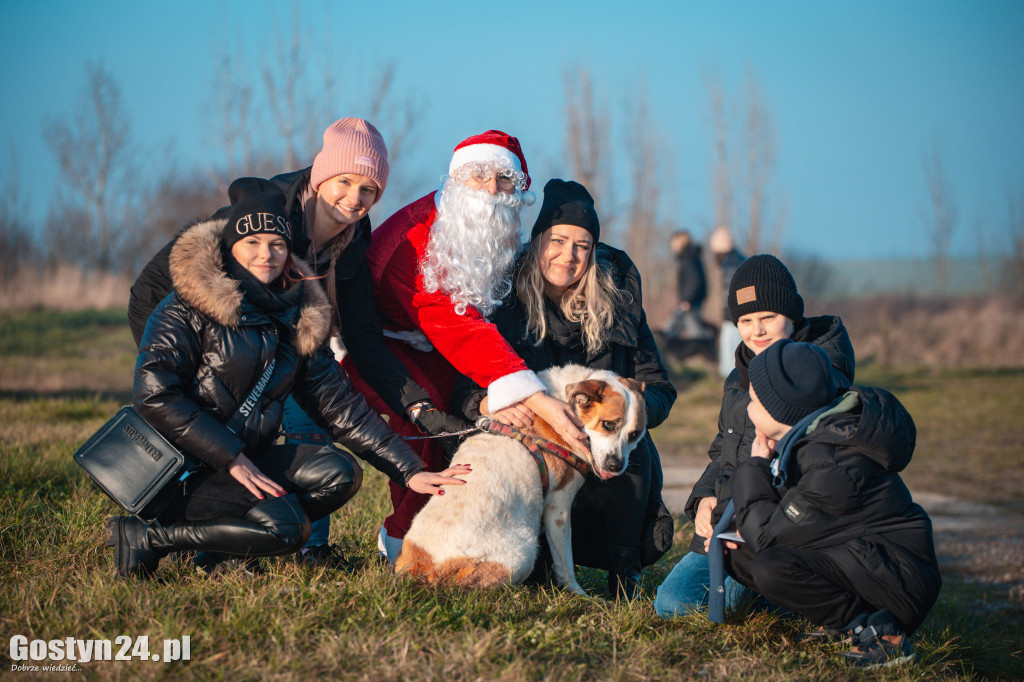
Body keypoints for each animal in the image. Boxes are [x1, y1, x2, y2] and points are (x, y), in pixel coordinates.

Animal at [393, 364, 643, 593]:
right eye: (608, 424)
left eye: (634, 435)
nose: (615, 466)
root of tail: (425, 567)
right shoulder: (558, 507)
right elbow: (565, 562)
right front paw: (578, 594)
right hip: (523, 555)